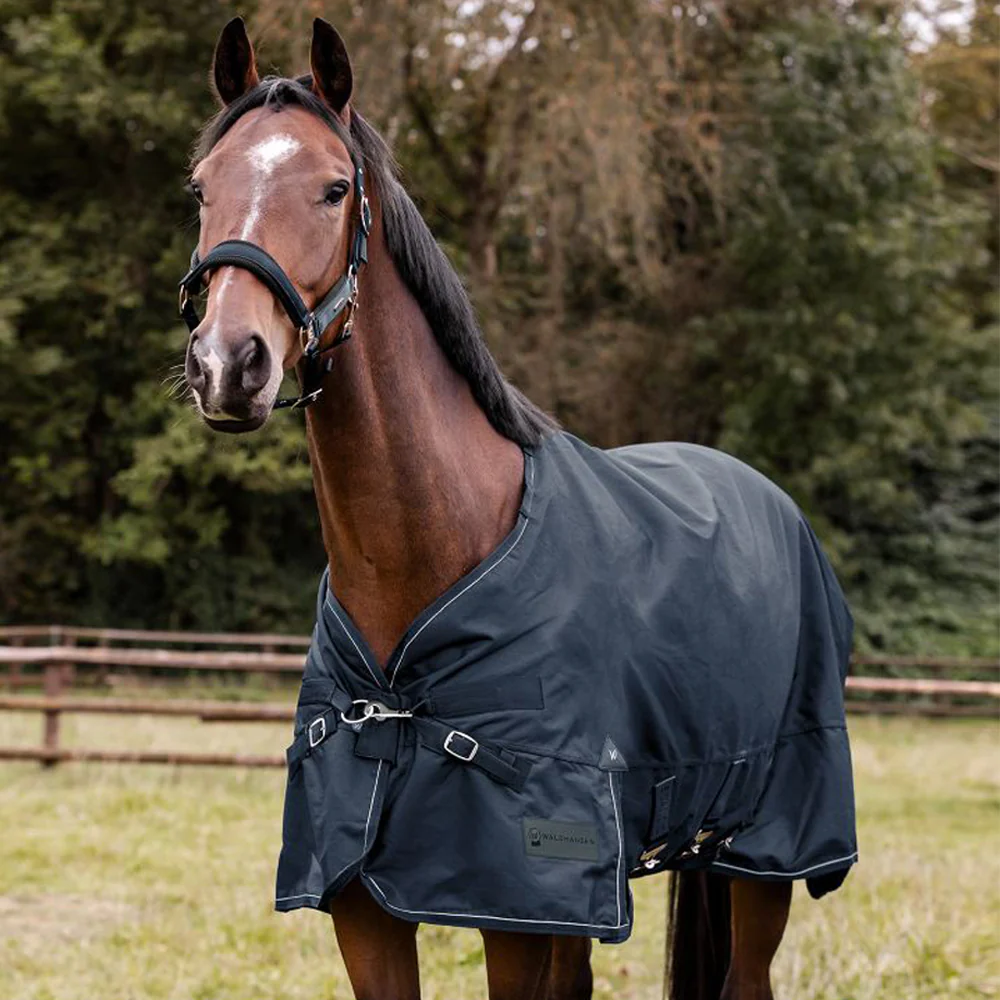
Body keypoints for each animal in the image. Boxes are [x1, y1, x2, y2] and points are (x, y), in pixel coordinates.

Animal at [179, 18, 856, 1000]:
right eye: (201, 187)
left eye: (335, 188)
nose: (229, 364)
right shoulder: (365, 902)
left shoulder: (512, 906)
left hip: (762, 852)